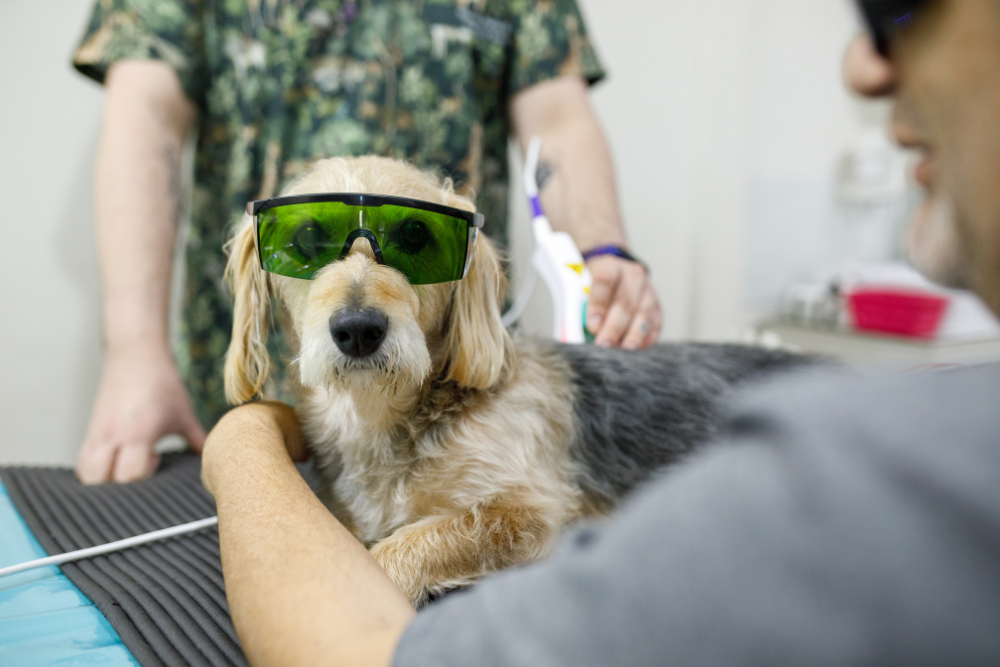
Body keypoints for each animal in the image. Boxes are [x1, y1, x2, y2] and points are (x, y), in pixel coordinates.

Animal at [225, 157, 820, 604]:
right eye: (307, 238)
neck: (389, 415)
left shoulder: (533, 515)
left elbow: (400, 550)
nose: (358, 329)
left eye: (416, 236)